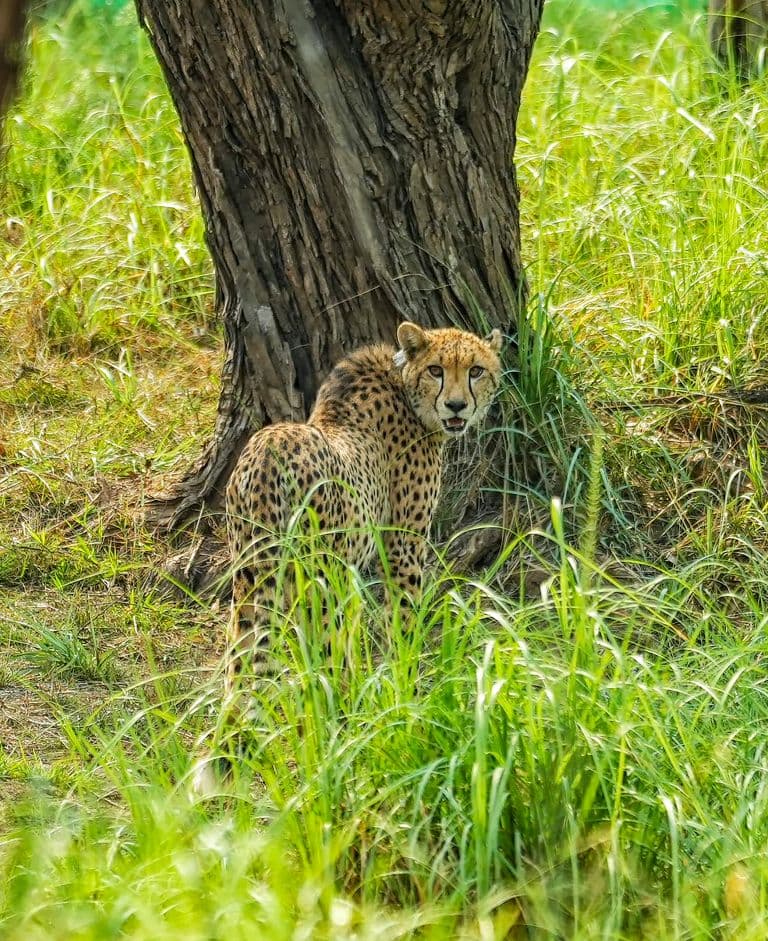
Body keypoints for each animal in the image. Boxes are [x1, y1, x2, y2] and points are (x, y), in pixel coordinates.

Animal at [224, 320, 503, 689]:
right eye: (435, 370)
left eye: (476, 371)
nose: (456, 406)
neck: (405, 387)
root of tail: (269, 448)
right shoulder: (403, 546)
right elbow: (402, 618)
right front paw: (405, 681)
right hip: (319, 579)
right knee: (324, 659)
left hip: (249, 573)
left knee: (240, 662)